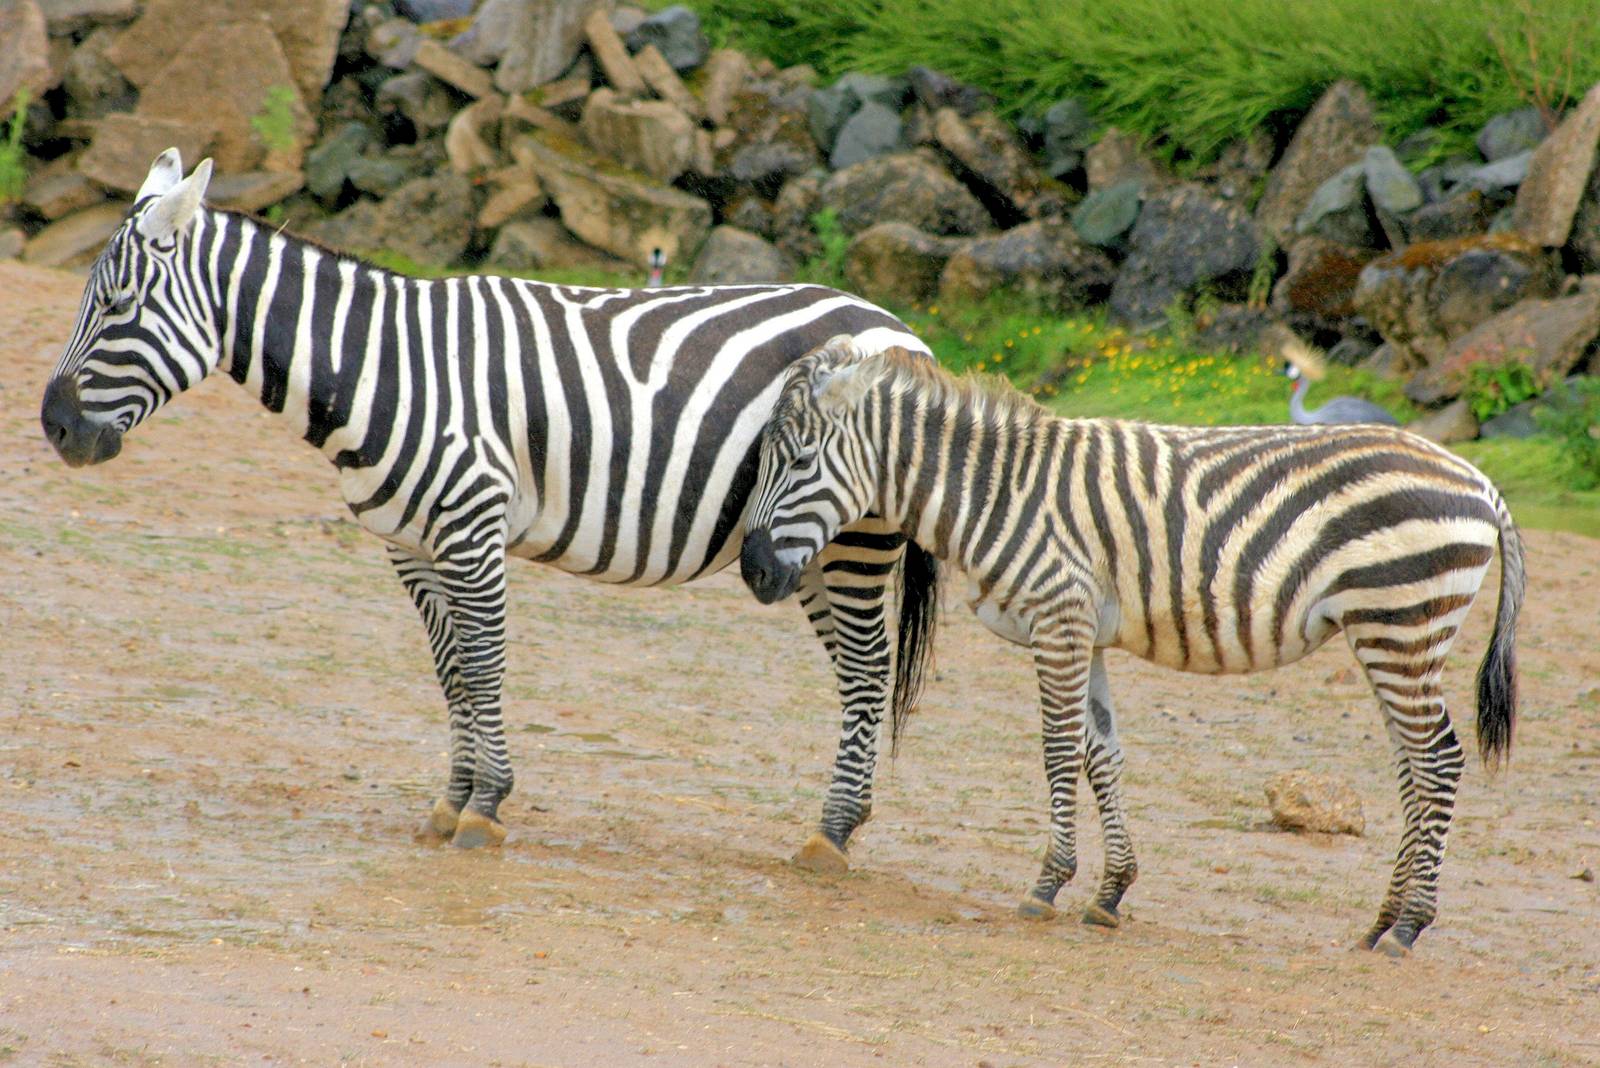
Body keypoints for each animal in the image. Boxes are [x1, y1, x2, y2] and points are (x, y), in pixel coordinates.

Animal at [39, 149, 939, 858]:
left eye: (116, 306)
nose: (53, 426)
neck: (382, 368)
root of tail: (898, 325)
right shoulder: (410, 545)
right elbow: (450, 672)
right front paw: (453, 800)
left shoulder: (471, 530)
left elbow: (483, 662)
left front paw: (486, 808)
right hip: (803, 551)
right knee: (856, 673)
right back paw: (839, 823)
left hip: (854, 543)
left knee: (867, 672)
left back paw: (831, 834)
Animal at [739, 336, 1525, 955]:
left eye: (799, 460)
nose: (753, 571)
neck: (999, 492)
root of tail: (1481, 481)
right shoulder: (1082, 633)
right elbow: (1100, 754)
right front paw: (1111, 891)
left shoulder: (1057, 619)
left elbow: (1058, 750)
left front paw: (1047, 883)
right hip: (1393, 634)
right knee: (1414, 767)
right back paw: (1383, 920)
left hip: (1402, 624)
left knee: (1439, 760)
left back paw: (1409, 926)